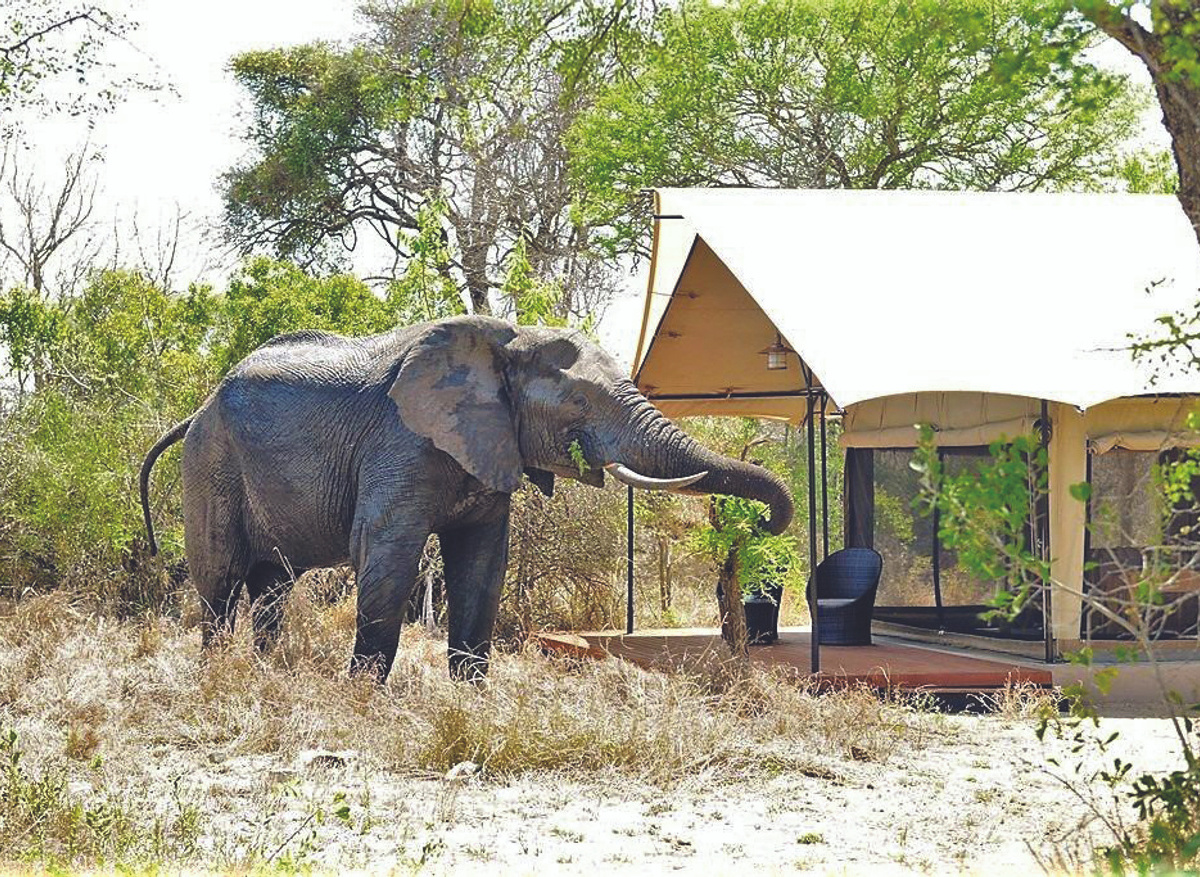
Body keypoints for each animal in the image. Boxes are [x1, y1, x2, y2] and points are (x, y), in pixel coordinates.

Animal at [139, 315, 794, 680]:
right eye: (580, 402)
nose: (761, 525)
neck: (507, 338)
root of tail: (196, 410)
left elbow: (482, 562)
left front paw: (472, 697)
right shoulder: (401, 440)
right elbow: (388, 553)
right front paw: (363, 698)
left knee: (271, 586)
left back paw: (264, 673)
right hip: (210, 463)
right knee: (221, 583)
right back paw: (218, 676)